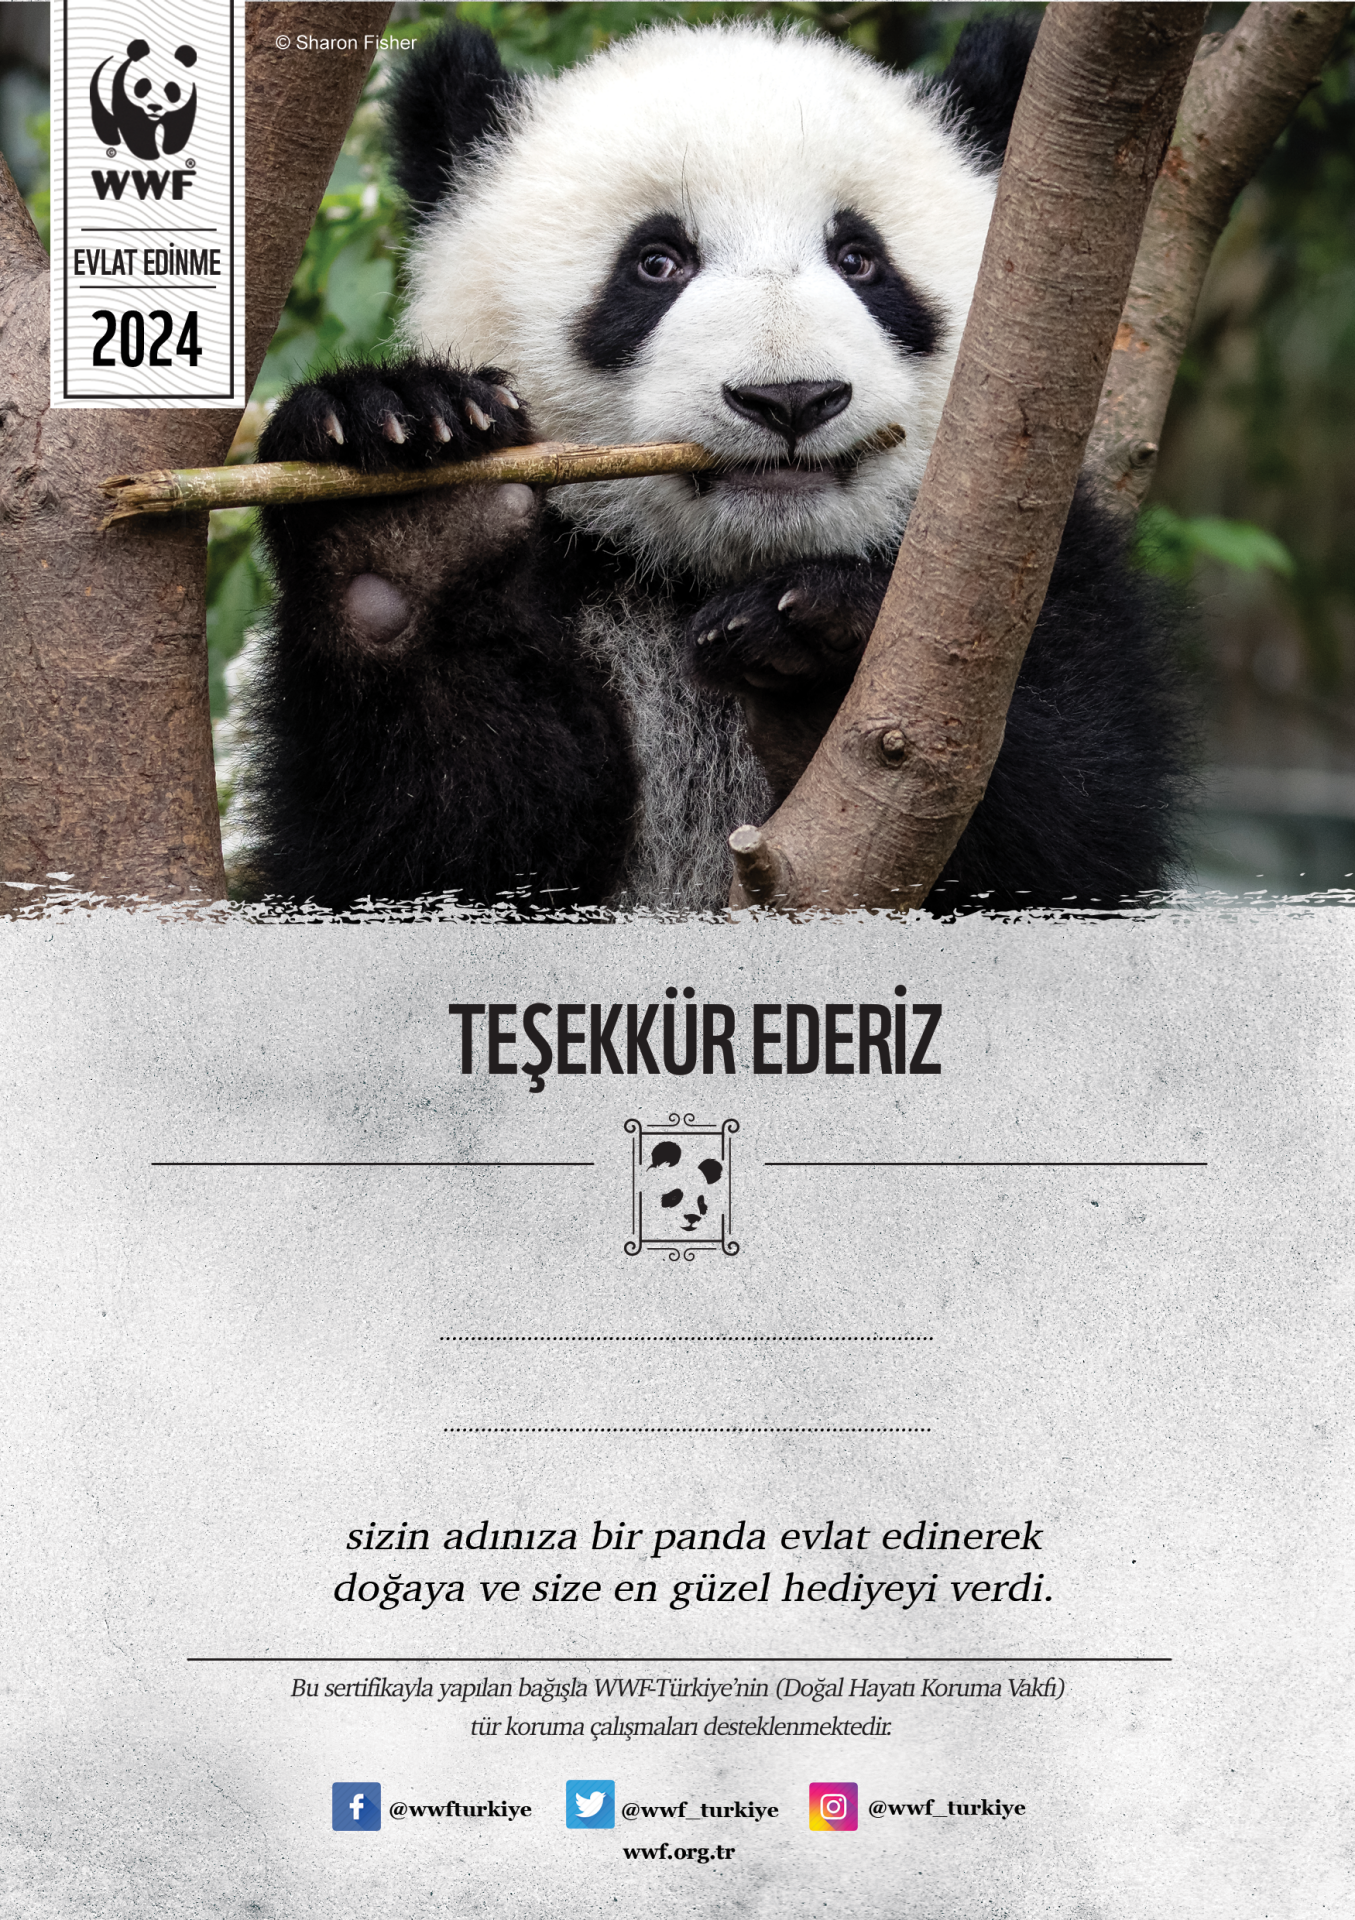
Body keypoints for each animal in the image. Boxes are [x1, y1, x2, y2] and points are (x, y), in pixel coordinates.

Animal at [247, 17, 1190, 914]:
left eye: (860, 260)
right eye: (657, 262)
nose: (790, 399)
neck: (708, 573)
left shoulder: (1034, 570)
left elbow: (1070, 824)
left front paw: (818, 648)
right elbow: (438, 843)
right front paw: (410, 512)